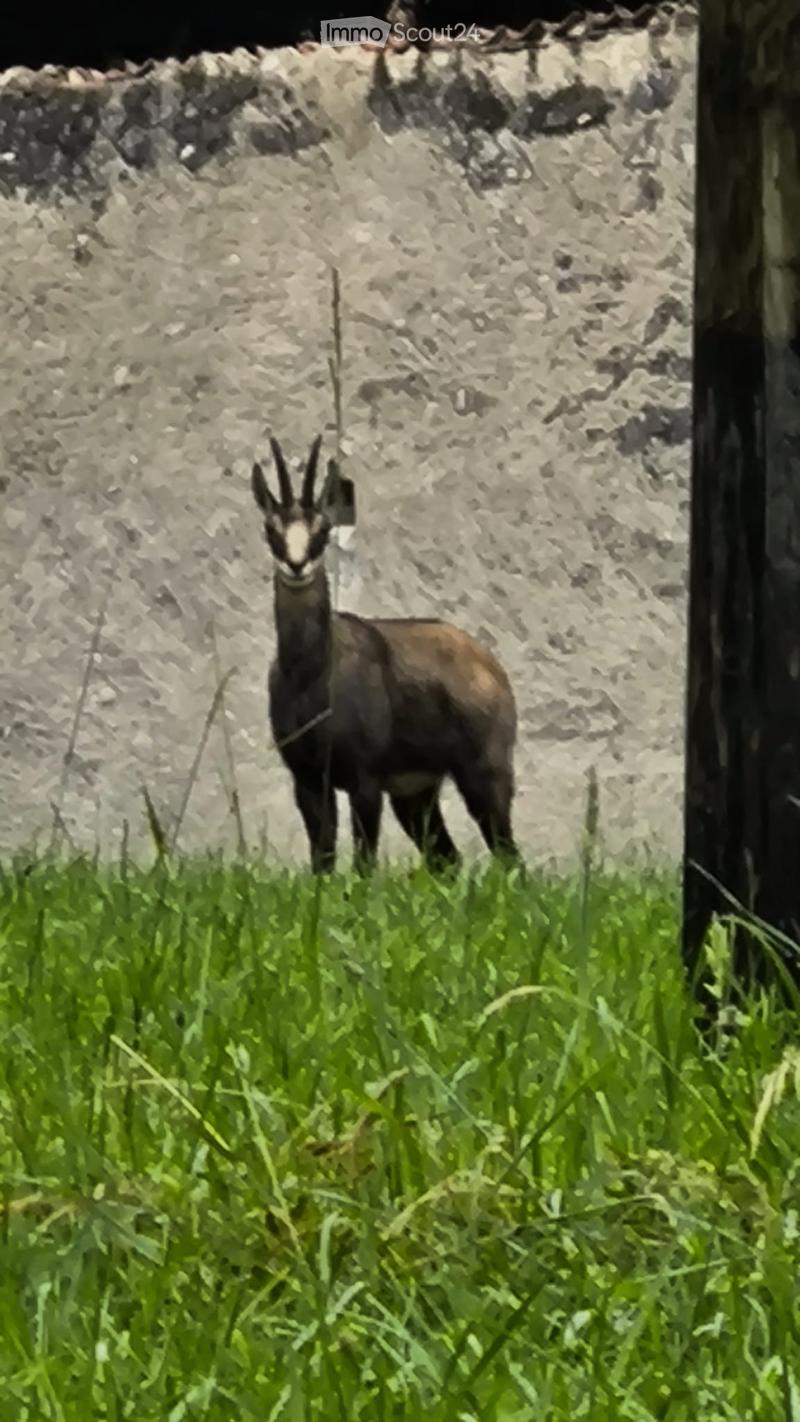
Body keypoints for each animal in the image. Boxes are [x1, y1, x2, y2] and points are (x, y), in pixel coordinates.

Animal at [250, 433, 521, 874]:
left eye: (323, 528)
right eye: (270, 527)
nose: (296, 565)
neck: (311, 671)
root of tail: (489, 664)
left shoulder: (365, 780)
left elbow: (364, 864)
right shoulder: (308, 779)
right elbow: (322, 861)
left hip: (484, 773)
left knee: (508, 854)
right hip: (415, 795)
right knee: (447, 859)